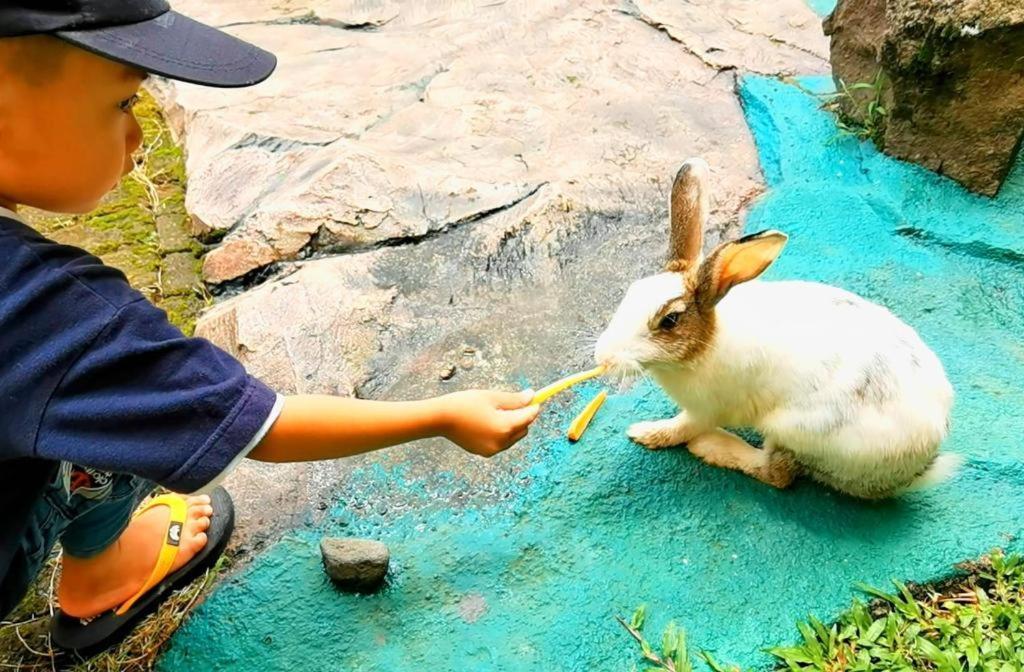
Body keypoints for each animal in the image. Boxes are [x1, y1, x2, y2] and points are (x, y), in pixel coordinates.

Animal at [598, 158, 954, 497]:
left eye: (669, 320)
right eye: (631, 292)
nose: (603, 357)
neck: (705, 344)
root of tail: (912, 469)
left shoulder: (705, 410)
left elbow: (682, 427)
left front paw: (646, 433)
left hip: (793, 431)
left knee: (777, 474)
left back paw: (713, 446)